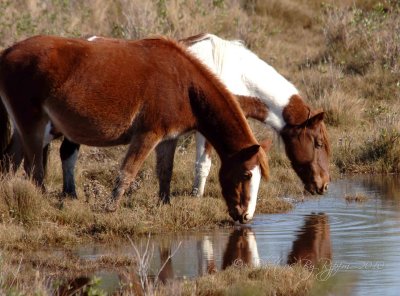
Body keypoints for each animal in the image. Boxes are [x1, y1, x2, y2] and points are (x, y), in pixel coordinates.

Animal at [0, 35, 268, 222]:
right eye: (246, 175)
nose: (246, 217)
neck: (183, 84)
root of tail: (7, 53)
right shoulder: (147, 136)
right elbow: (128, 172)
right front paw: (110, 208)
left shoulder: (168, 139)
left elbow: (165, 171)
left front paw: (164, 203)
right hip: (33, 127)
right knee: (34, 169)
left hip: (24, 130)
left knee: (10, 162)